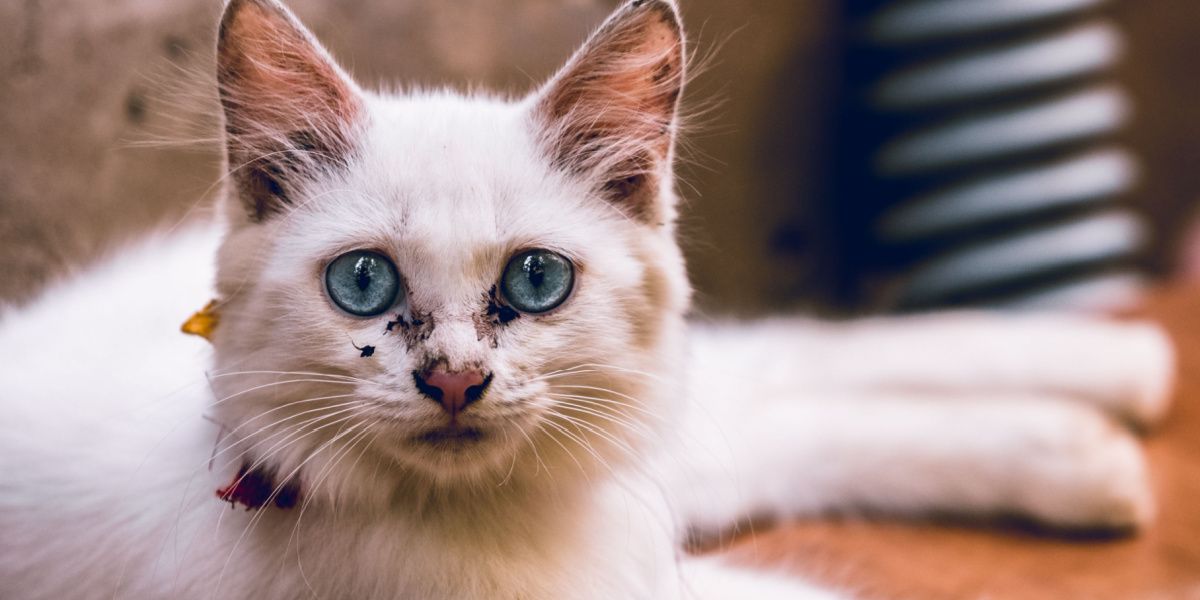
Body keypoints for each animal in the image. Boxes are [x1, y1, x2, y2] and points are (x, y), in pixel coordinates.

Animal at [0, 1, 1171, 600]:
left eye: (535, 279)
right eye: (363, 283)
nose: (455, 380)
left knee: (794, 361)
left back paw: (1122, 386)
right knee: (801, 405)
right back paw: (1100, 449)